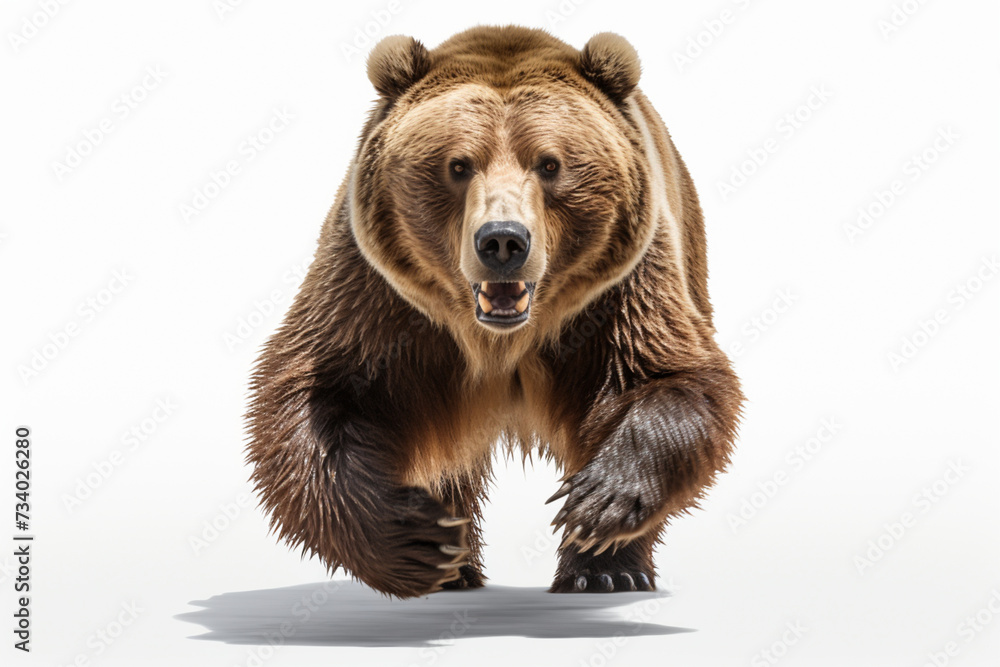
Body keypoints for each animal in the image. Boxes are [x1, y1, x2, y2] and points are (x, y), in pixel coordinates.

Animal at [245, 25, 743, 598]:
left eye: (550, 164)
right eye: (458, 165)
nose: (503, 241)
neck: (501, 339)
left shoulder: (619, 294)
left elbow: (672, 379)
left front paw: (598, 503)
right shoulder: (380, 297)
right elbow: (315, 394)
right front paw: (421, 537)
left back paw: (608, 571)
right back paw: (455, 567)